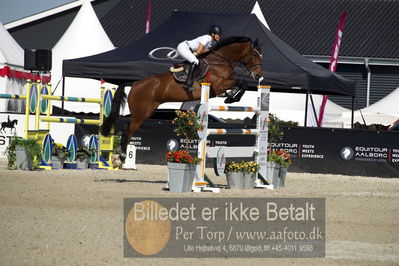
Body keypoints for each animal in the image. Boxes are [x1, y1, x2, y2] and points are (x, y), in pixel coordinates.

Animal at [101, 36, 264, 155]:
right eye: (255, 54)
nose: (258, 75)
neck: (220, 61)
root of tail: (135, 84)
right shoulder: (218, 85)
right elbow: (241, 82)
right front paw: (231, 98)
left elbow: (241, 84)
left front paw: (231, 96)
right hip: (141, 113)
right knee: (128, 129)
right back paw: (121, 156)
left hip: (147, 111)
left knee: (127, 127)